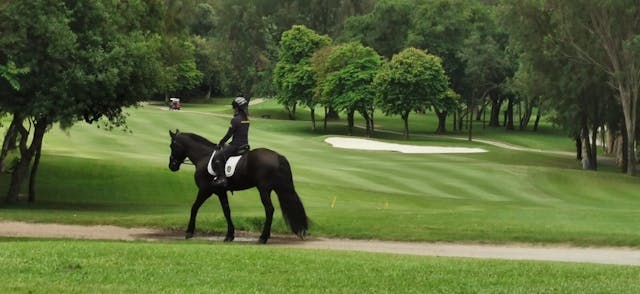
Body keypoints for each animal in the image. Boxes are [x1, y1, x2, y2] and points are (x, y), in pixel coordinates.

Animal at [168, 129, 308, 243]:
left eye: (172, 146)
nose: (172, 166)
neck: (203, 157)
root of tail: (278, 156)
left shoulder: (205, 190)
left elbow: (194, 207)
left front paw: (189, 232)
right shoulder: (220, 192)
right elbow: (227, 211)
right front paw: (229, 235)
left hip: (264, 189)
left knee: (269, 209)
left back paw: (263, 237)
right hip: (279, 188)